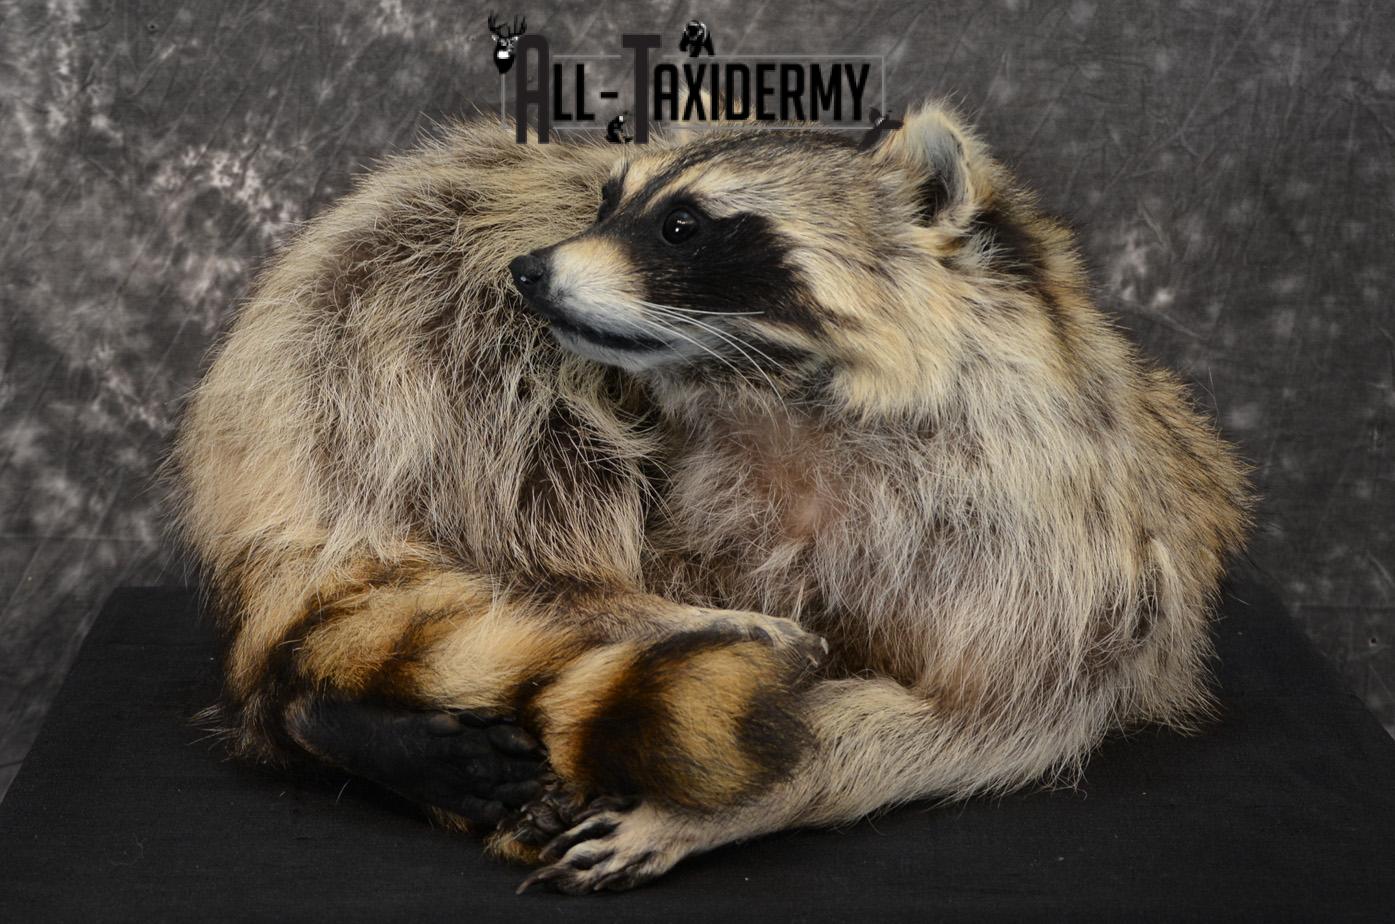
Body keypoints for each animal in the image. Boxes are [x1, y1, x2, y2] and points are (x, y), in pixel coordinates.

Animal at [169, 101, 1250, 894]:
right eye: (607, 202)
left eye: (683, 226)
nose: (530, 268)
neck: (784, 399)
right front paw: (666, 637)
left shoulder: (1056, 547)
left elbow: (981, 719)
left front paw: (722, 802)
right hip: (382, 331)